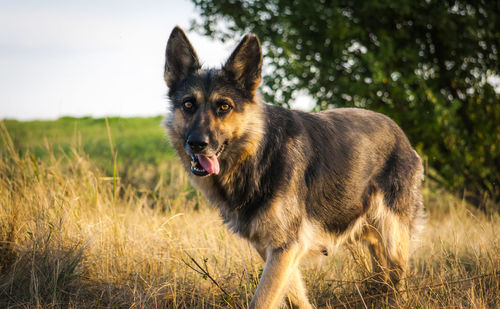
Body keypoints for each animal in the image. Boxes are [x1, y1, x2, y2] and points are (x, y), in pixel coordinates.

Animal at [163, 27, 422, 308]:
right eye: (188, 104)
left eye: (224, 106)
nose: (197, 144)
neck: (258, 153)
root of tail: (401, 134)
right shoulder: (275, 249)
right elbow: (296, 297)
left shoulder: (285, 247)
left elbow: (262, 300)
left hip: (393, 236)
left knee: (398, 280)